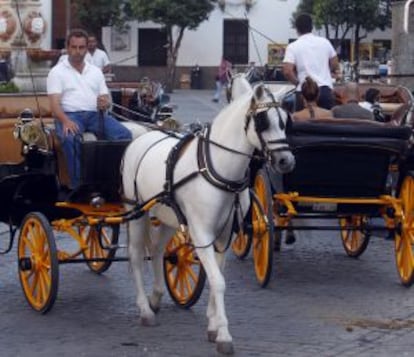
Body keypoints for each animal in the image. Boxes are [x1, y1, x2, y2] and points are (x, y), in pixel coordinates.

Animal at [121, 83, 296, 354]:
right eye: (262, 121)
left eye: (285, 121)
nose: (286, 161)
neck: (216, 170)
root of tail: (141, 136)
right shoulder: (201, 233)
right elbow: (218, 281)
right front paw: (224, 334)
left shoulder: (224, 235)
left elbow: (217, 277)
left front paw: (213, 325)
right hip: (137, 212)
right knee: (136, 256)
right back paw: (144, 309)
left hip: (169, 217)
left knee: (158, 251)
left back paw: (156, 296)